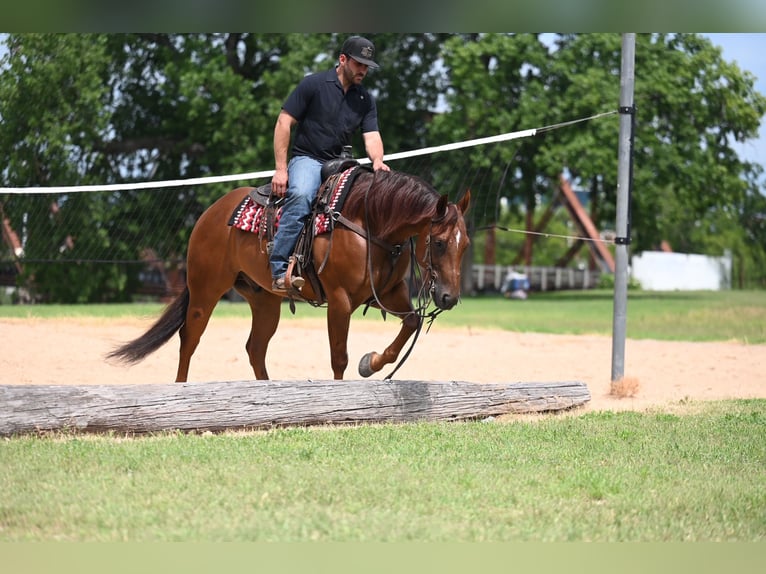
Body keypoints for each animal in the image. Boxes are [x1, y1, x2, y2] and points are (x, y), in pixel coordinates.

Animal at [107, 168, 471, 381]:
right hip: (205, 290)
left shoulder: (389, 292)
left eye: (465, 244)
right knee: (189, 339)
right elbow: (338, 357)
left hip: (265, 301)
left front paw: (372, 363)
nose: (449, 297)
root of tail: (211, 213)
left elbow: (412, 322)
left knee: (255, 349)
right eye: (439, 243)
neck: (368, 223)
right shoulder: (340, 301)